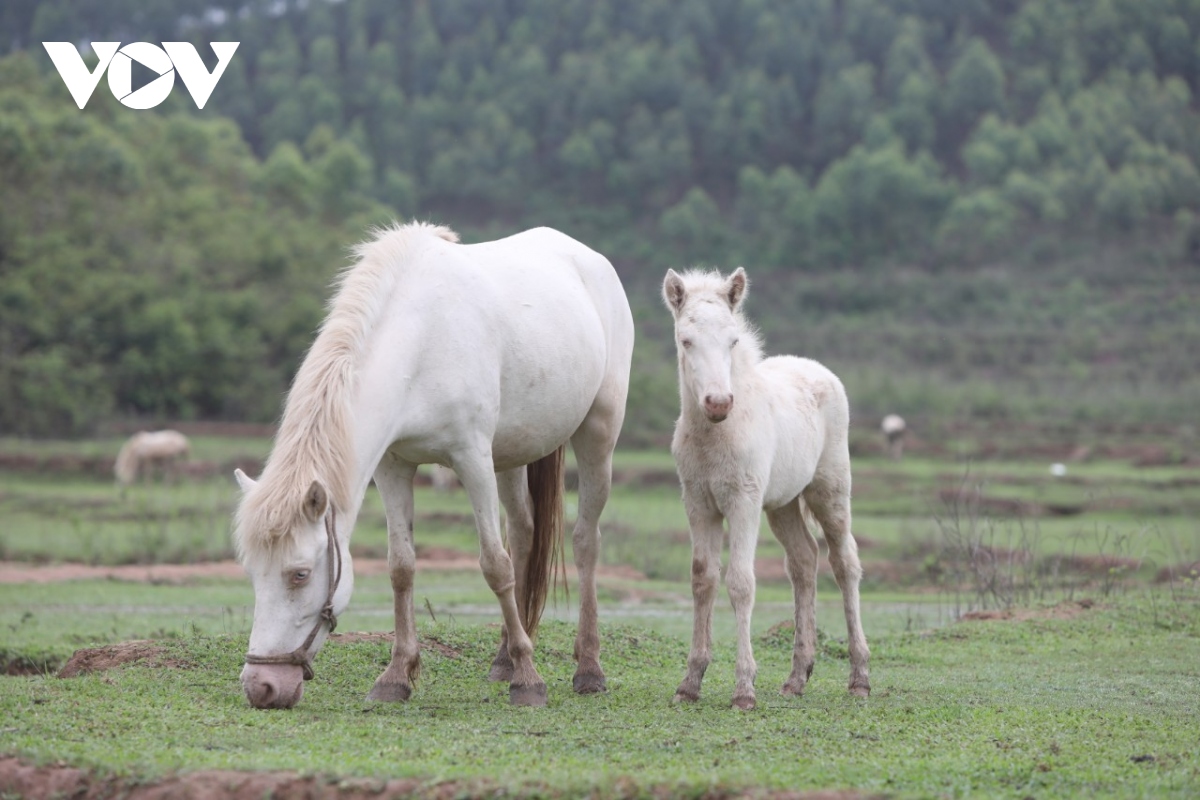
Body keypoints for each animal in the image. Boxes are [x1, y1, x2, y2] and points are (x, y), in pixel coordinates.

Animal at [228, 221, 633, 710]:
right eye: (252, 572)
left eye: (299, 574)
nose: (261, 687)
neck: (419, 340)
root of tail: (588, 258)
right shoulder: (393, 465)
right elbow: (401, 567)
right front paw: (397, 675)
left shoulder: (471, 458)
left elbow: (494, 566)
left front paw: (529, 680)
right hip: (512, 452)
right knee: (523, 534)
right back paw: (504, 659)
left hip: (598, 433)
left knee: (584, 541)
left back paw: (587, 668)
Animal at [662, 271, 868, 714]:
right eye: (686, 340)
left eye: (733, 340)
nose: (718, 402)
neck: (716, 434)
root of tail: (817, 369)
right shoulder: (697, 503)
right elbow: (703, 578)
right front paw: (690, 682)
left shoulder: (744, 501)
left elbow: (741, 582)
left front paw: (744, 689)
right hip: (783, 503)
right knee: (804, 561)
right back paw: (797, 677)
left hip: (830, 489)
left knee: (844, 562)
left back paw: (860, 677)